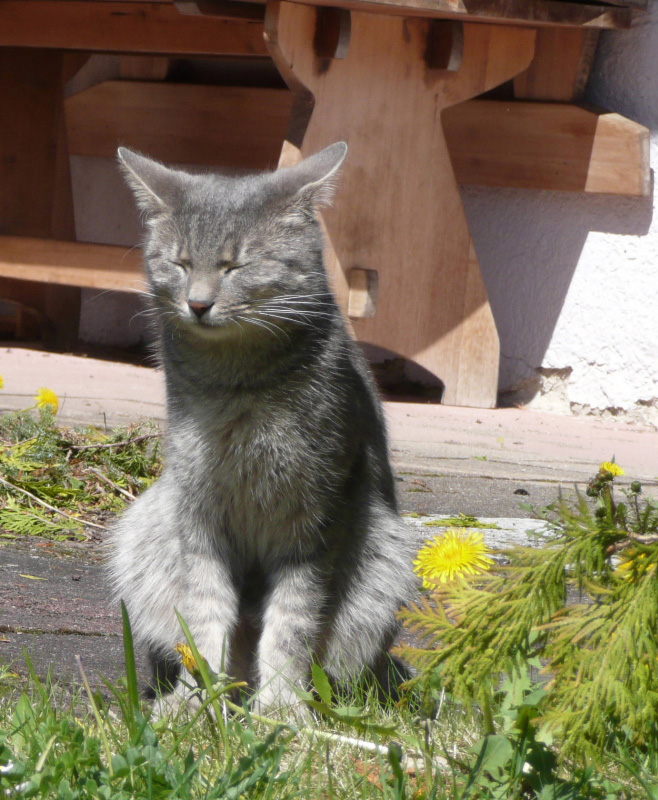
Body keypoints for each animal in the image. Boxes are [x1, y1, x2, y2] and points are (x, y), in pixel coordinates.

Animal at [109, 141, 412, 708]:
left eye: (236, 265)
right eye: (179, 263)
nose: (198, 303)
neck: (236, 384)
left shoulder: (316, 517)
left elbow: (292, 624)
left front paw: (282, 709)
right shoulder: (198, 512)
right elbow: (205, 616)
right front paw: (196, 704)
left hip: (384, 561)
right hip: (146, 528)